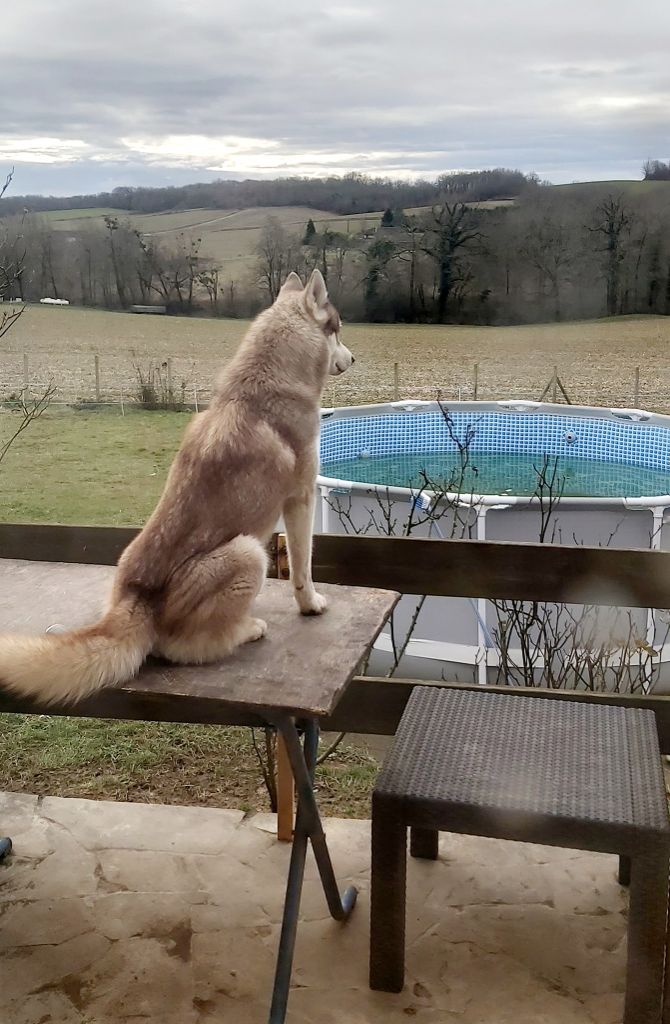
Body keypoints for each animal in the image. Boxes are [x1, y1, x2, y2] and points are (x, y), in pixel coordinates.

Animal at [0, 269, 354, 704]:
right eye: (338, 330)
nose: (353, 358)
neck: (267, 383)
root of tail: (136, 599)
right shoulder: (300, 500)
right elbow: (303, 567)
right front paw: (311, 605)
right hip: (248, 553)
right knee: (186, 649)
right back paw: (247, 629)